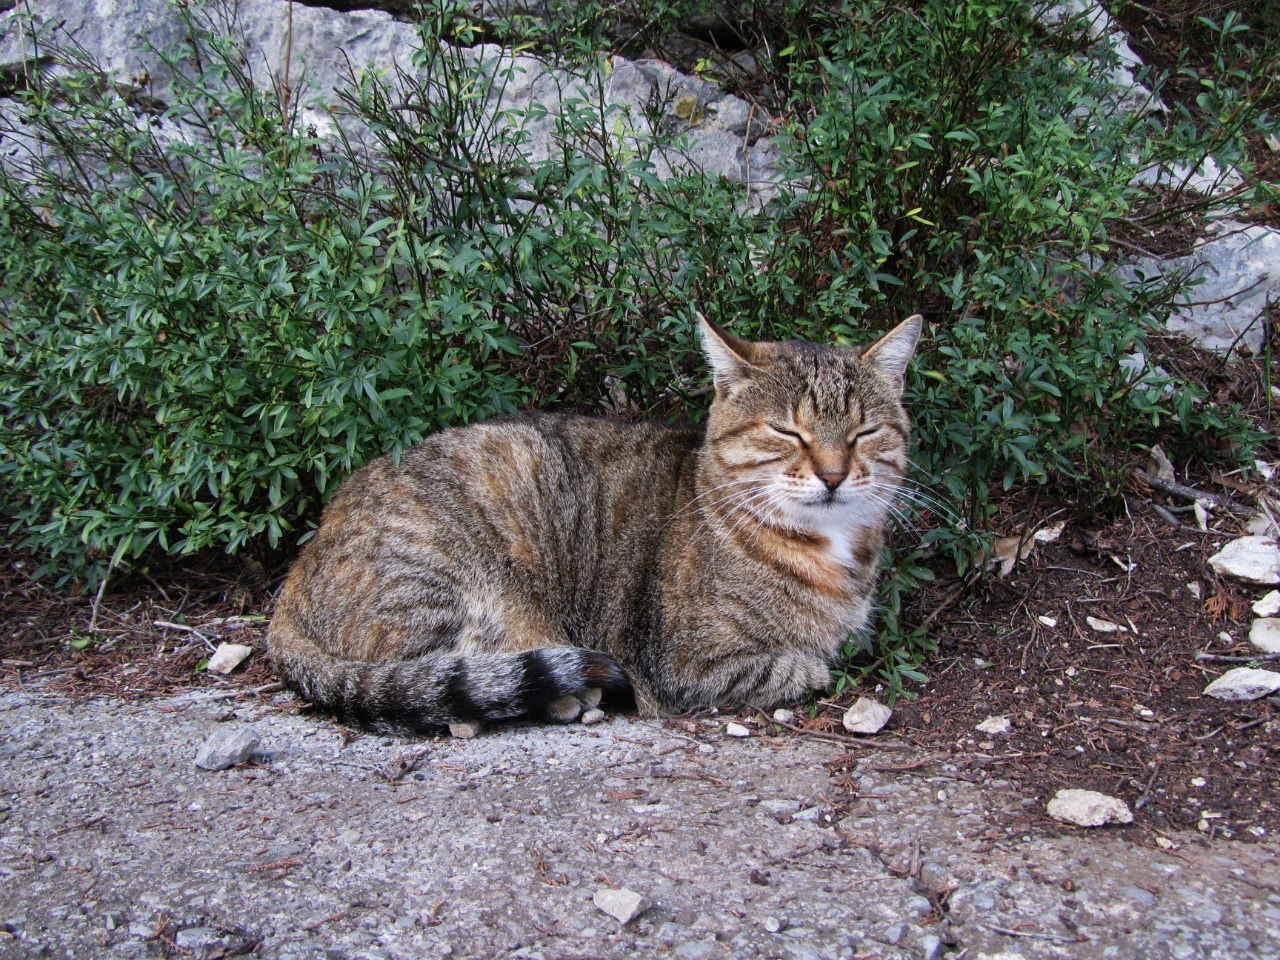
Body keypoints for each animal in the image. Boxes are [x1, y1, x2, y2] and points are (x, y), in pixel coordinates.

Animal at [267, 312, 921, 732]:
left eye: (864, 432)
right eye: (787, 431)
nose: (834, 475)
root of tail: (294, 581)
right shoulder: (687, 665)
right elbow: (803, 665)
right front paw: (811, 663)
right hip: (446, 574)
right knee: (440, 676)